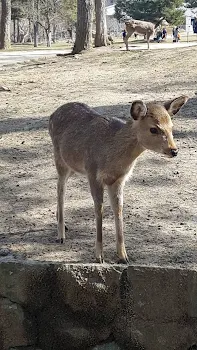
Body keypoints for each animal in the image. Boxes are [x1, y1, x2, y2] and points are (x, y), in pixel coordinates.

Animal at [48, 94, 188, 264]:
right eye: (153, 128)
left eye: (171, 127)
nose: (174, 150)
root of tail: (52, 114)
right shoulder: (93, 172)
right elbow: (99, 209)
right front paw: (99, 256)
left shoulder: (119, 179)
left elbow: (118, 209)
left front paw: (123, 256)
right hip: (60, 159)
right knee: (60, 187)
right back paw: (61, 235)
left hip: (73, 166)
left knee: (61, 185)